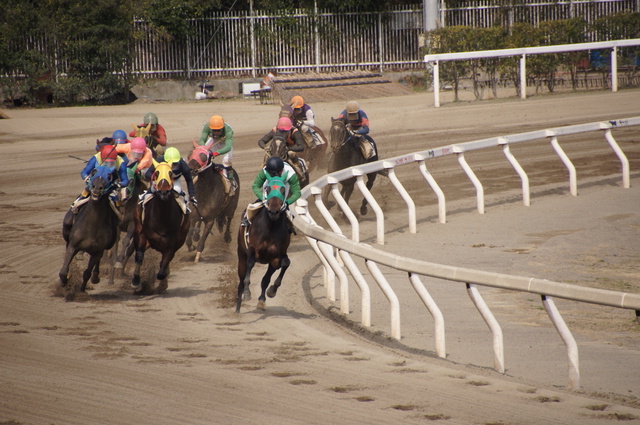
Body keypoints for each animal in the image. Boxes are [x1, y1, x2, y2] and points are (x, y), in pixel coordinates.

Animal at [131, 159, 189, 292]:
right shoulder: (143, 236)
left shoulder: (171, 244)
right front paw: (136, 282)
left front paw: (162, 283)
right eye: (156, 173)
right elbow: (139, 256)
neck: (162, 218)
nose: (164, 192)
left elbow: (163, 268)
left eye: (170, 173)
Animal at [236, 175, 292, 312]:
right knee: (241, 280)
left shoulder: (276, 258)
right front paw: (247, 292)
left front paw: (271, 291)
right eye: (268, 188)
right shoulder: (252, 250)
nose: (273, 212)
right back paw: (237, 309)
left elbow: (285, 263)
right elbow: (250, 266)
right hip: (241, 253)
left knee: (265, 279)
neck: (270, 227)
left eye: (283, 190)